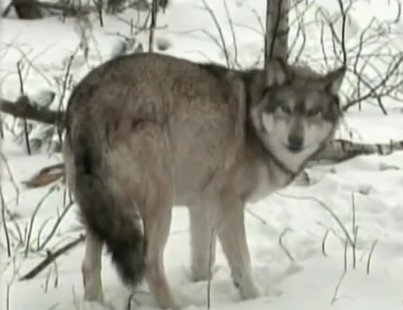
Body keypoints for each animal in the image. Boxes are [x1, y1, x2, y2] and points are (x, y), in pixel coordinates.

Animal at [63, 52, 348, 308]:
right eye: (285, 109)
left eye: (313, 113)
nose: (295, 141)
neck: (253, 124)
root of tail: (88, 99)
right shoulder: (226, 203)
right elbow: (242, 262)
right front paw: (255, 298)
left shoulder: (201, 206)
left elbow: (203, 262)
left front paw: (203, 287)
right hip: (158, 202)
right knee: (150, 262)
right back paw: (175, 306)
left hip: (102, 212)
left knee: (88, 267)